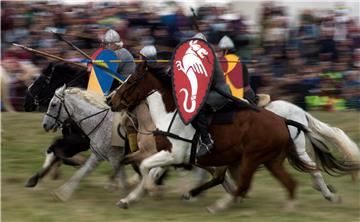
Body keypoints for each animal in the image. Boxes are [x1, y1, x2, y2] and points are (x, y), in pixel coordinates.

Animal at [107, 62, 360, 210]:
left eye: (132, 80)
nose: (110, 99)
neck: (171, 115)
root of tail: (291, 116)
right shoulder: (172, 155)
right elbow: (148, 169)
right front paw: (130, 197)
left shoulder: (174, 154)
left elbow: (147, 168)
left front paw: (146, 190)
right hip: (266, 158)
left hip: (265, 154)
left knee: (310, 172)